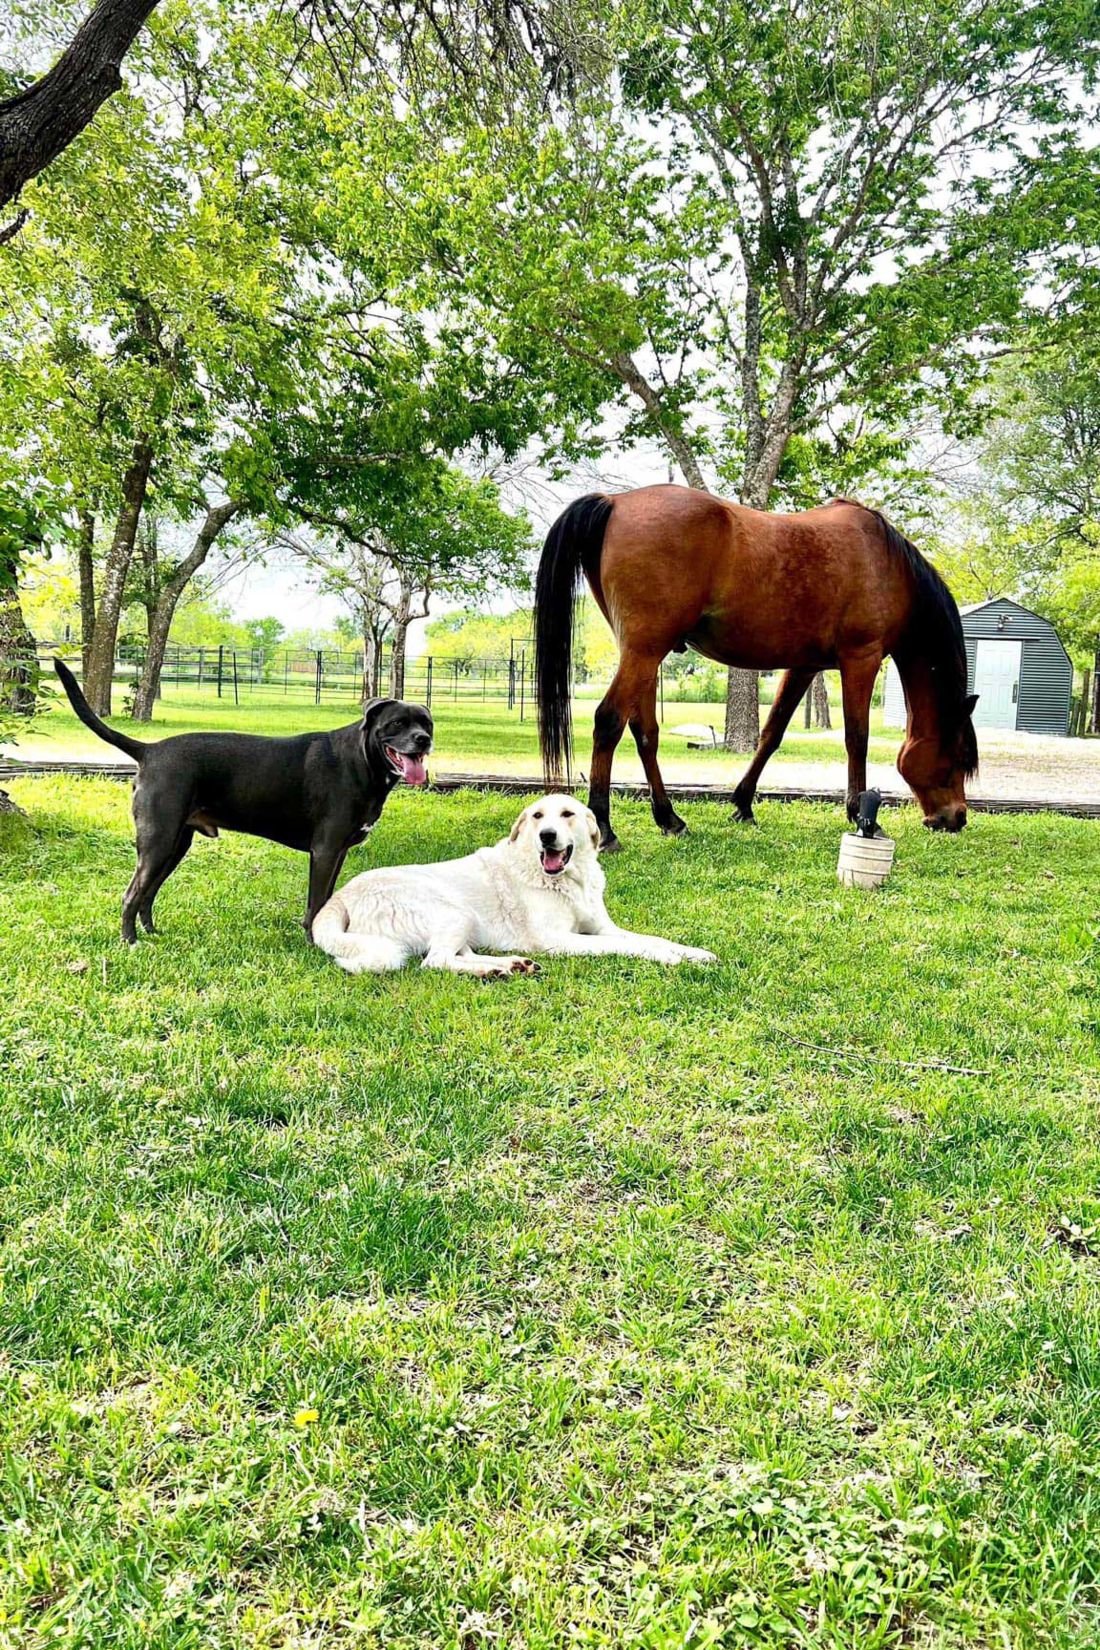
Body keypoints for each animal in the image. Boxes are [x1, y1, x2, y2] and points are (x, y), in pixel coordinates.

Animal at [53, 656, 435, 943]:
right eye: (397, 723)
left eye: (427, 723)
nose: (423, 740)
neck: (362, 761)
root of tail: (150, 750)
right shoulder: (325, 851)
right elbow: (315, 903)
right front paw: (315, 942)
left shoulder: (338, 852)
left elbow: (325, 900)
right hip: (157, 841)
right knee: (133, 893)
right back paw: (130, 941)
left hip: (175, 844)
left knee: (148, 893)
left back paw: (150, 932)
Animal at [311, 792, 722, 970]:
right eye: (538, 816)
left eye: (567, 814)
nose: (547, 836)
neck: (570, 882)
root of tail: (341, 896)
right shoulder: (557, 939)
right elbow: (624, 947)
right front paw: (668, 958)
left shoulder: (603, 926)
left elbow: (649, 938)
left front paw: (692, 953)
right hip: (454, 911)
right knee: (435, 962)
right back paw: (495, 969)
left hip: (463, 921)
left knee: (454, 954)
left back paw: (507, 965)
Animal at [537, 481, 976, 851]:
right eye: (957, 757)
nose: (956, 817)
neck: (887, 564)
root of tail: (614, 501)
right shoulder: (860, 658)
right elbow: (857, 738)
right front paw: (859, 813)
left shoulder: (804, 666)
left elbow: (772, 733)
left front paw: (743, 805)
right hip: (645, 650)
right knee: (608, 720)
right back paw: (605, 828)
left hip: (643, 654)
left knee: (645, 732)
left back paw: (669, 818)